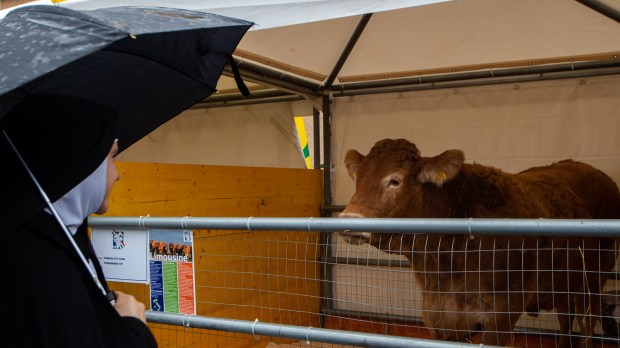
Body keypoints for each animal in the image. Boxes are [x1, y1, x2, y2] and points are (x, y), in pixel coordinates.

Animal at [340, 139, 620, 348]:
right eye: (358, 179)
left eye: (394, 180)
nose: (348, 218)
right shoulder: (440, 318)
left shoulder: (503, 314)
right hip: (564, 281)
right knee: (566, 319)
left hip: (595, 277)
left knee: (587, 321)